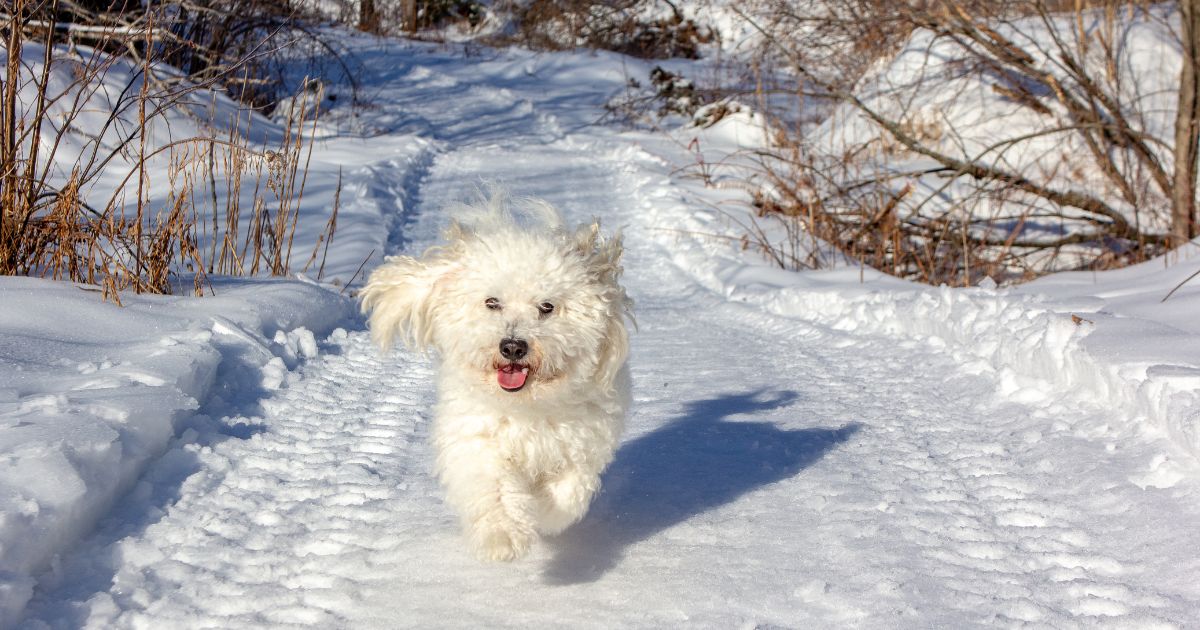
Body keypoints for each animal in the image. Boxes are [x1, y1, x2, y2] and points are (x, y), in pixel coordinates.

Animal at [357, 193, 633, 559]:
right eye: (492, 302)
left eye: (547, 306)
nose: (513, 346)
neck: (526, 407)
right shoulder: (479, 441)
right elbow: (496, 489)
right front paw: (504, 538)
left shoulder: (582, 444)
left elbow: (568, 490)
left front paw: (546, 514)